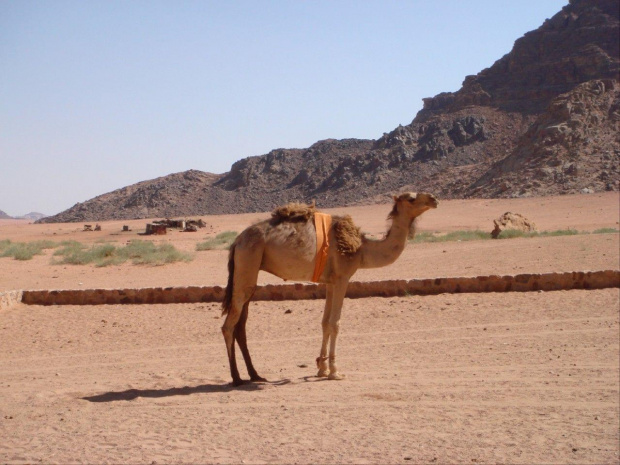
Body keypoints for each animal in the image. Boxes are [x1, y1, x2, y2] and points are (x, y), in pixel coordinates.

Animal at [220, 191, 438, 384]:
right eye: (411, 198)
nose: (434, 199)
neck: (362, 249)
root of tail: (236, 242)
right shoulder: (343, 277)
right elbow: (335, 323)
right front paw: (335, 372)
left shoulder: (331, 282)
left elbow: (325, 323)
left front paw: (321, 369)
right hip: (248, 261)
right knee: (229, 325)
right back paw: (237, 378)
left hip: (250, 273)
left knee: (241, 326)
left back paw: (255, 375)